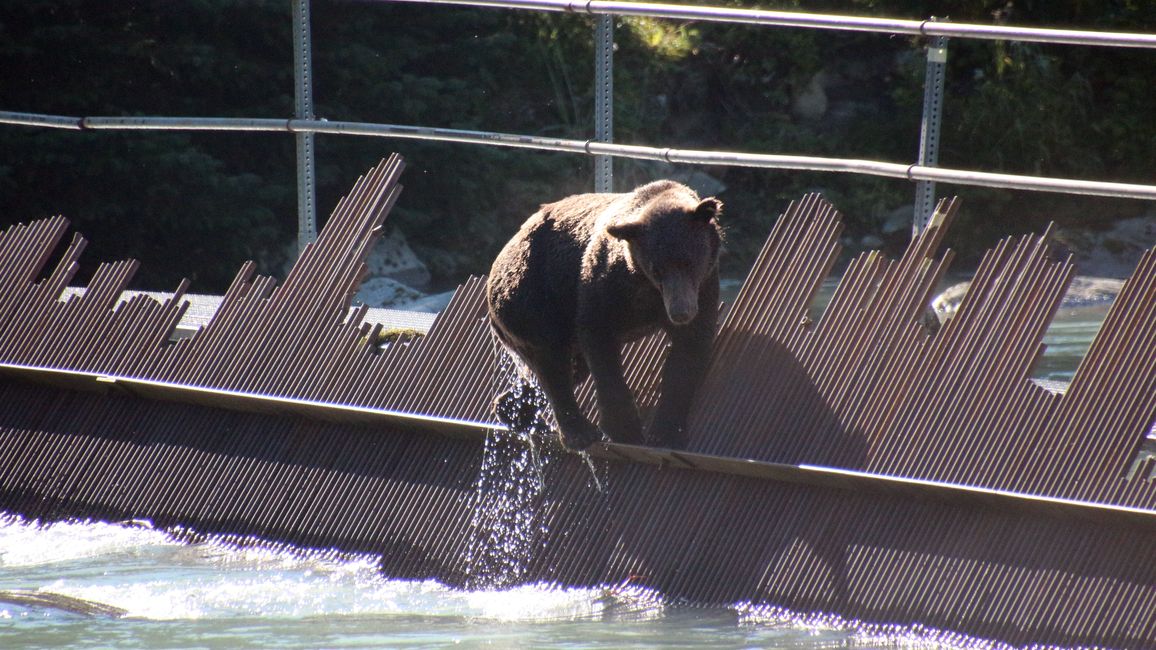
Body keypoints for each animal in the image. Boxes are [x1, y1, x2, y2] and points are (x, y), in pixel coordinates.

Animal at [487, 178, 721, 451]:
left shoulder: (704, 286)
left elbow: (688, 353)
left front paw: (667, 434)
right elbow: (600, 341)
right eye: (657, 269)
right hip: (533, 296)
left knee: (567, 369)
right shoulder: (605, 283)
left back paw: (517, 412)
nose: (680, 312)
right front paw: (626, 429)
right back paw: (579, 432)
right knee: (551, 361)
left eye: (689, 262)